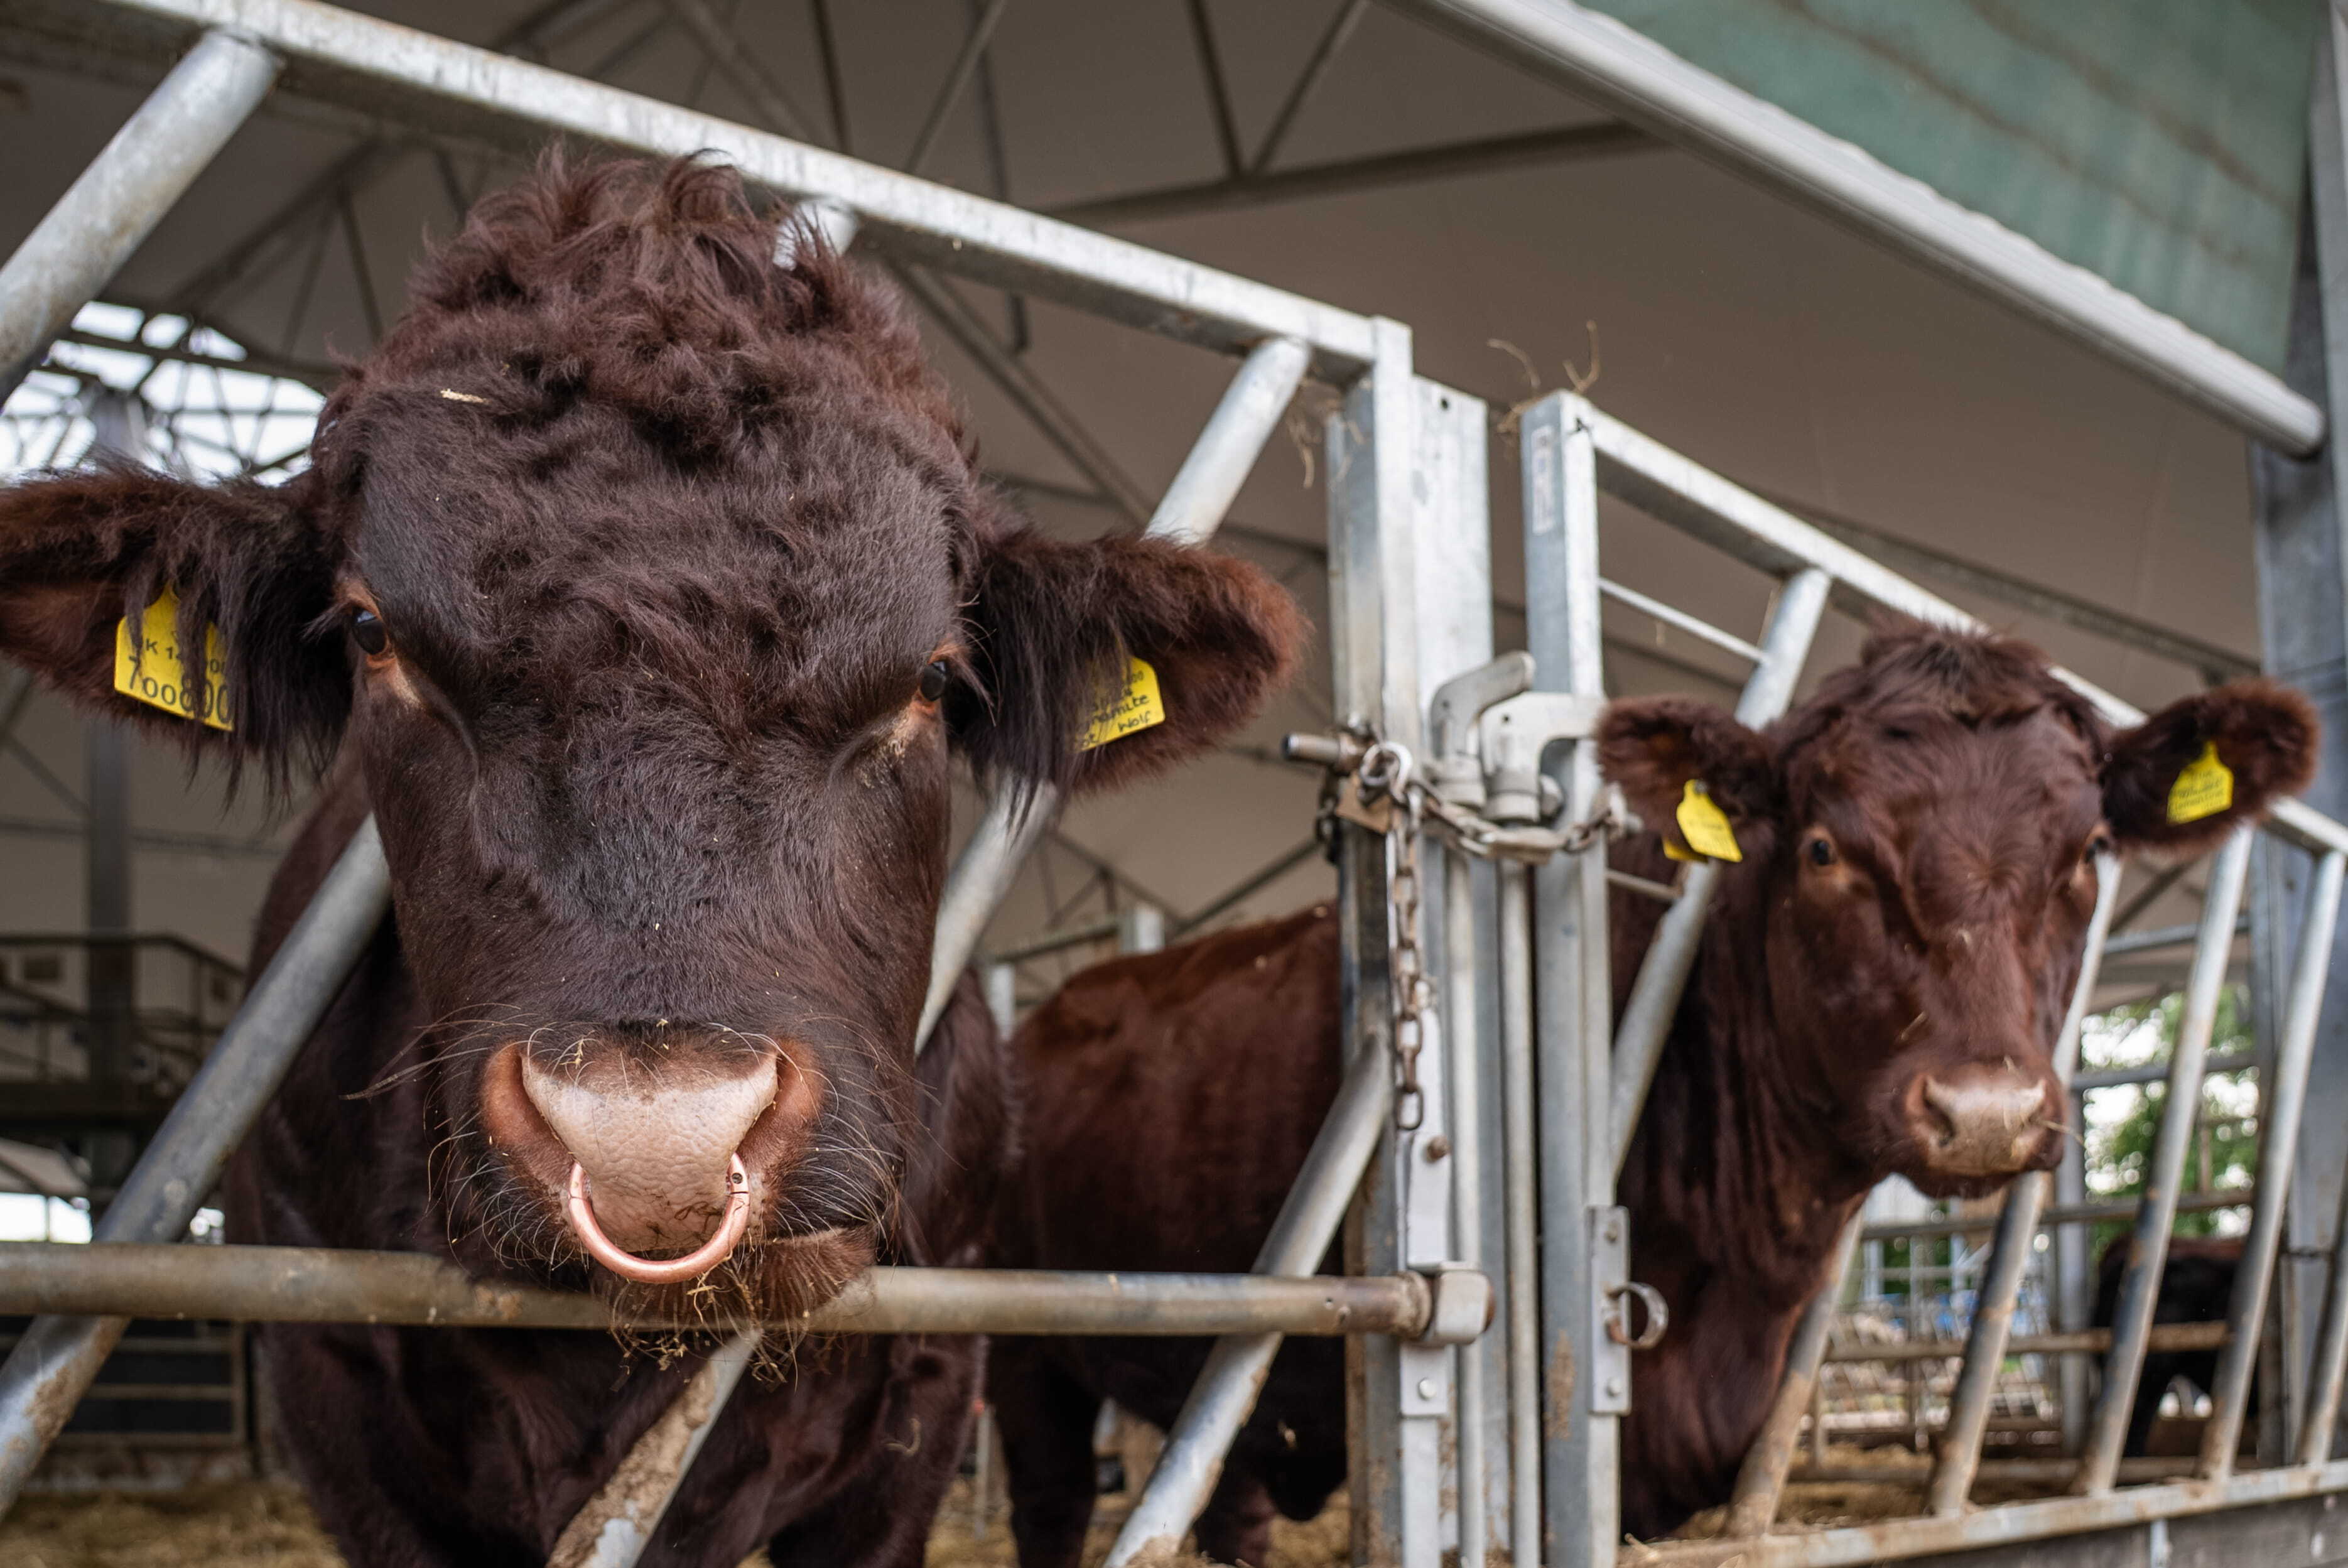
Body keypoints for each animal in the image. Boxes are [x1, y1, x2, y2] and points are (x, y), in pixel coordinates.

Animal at [987, 623, 2315, 1560]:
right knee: (1049, 1500)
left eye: (2088, 852)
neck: (1750, 1252)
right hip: (1023, 1340)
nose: (1983, 1113)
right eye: (1822, 849)